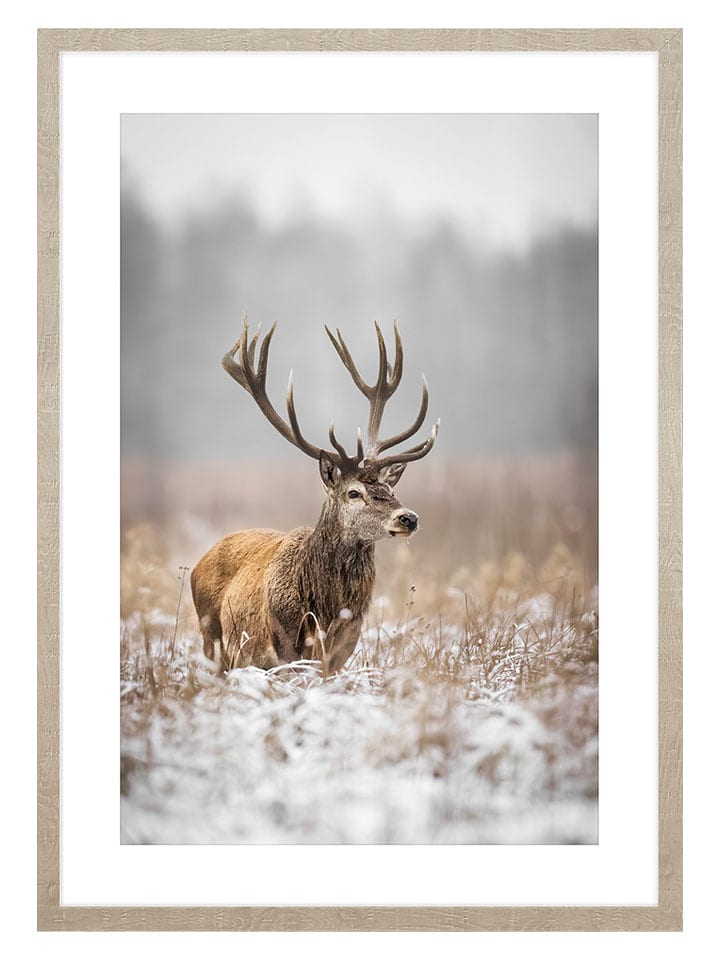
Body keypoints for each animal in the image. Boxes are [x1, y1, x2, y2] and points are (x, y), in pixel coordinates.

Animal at [191, 319, 439, 674]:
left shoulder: (342, 651)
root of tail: (199, 563)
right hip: (211, 638)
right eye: (354, 492)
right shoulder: (284, 648)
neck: (325, 611)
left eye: (390, 490)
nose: (409, 518)